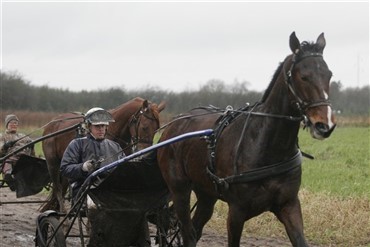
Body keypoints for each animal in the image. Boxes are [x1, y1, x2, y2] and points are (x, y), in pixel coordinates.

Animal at [158, 31, 336, 246]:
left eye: (329, 75)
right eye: (303, 77)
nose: (324, 125)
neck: (267, 145)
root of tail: (172, 126)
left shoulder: (289, 204)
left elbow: (300, 239)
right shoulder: (237, 211)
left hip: (206, 193)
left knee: (195, 228)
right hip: (179, 190)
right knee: (188, 231)